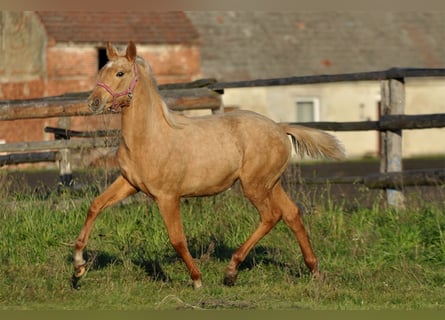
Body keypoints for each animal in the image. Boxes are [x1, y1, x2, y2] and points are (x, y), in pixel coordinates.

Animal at [73, 41, 346, 288]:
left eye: (120, 73)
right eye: (101, 71)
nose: (93, 103)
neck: (149, 136)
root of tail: (280, 128)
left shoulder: (167, 196)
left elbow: (177, 239)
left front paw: (196, 279)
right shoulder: (129, 183)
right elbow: (95, 206)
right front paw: (78, 267)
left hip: (255, 186)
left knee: (271, 216)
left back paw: (231, 271)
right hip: (271, 183)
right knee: (292, 214)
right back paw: (314, 270)